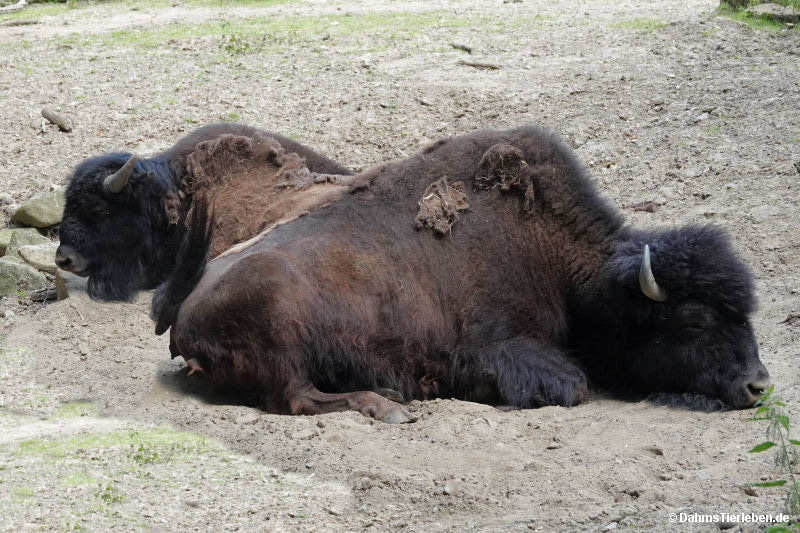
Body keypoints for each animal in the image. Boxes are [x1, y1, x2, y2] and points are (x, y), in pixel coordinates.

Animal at [152, 125, 770, 422]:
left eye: (746, 314)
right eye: (693, 321)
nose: (757, 386)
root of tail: (187, 316)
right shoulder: (499, 349)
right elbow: (570, 384)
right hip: (285, 342)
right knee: (298, 398)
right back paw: (387, 406)